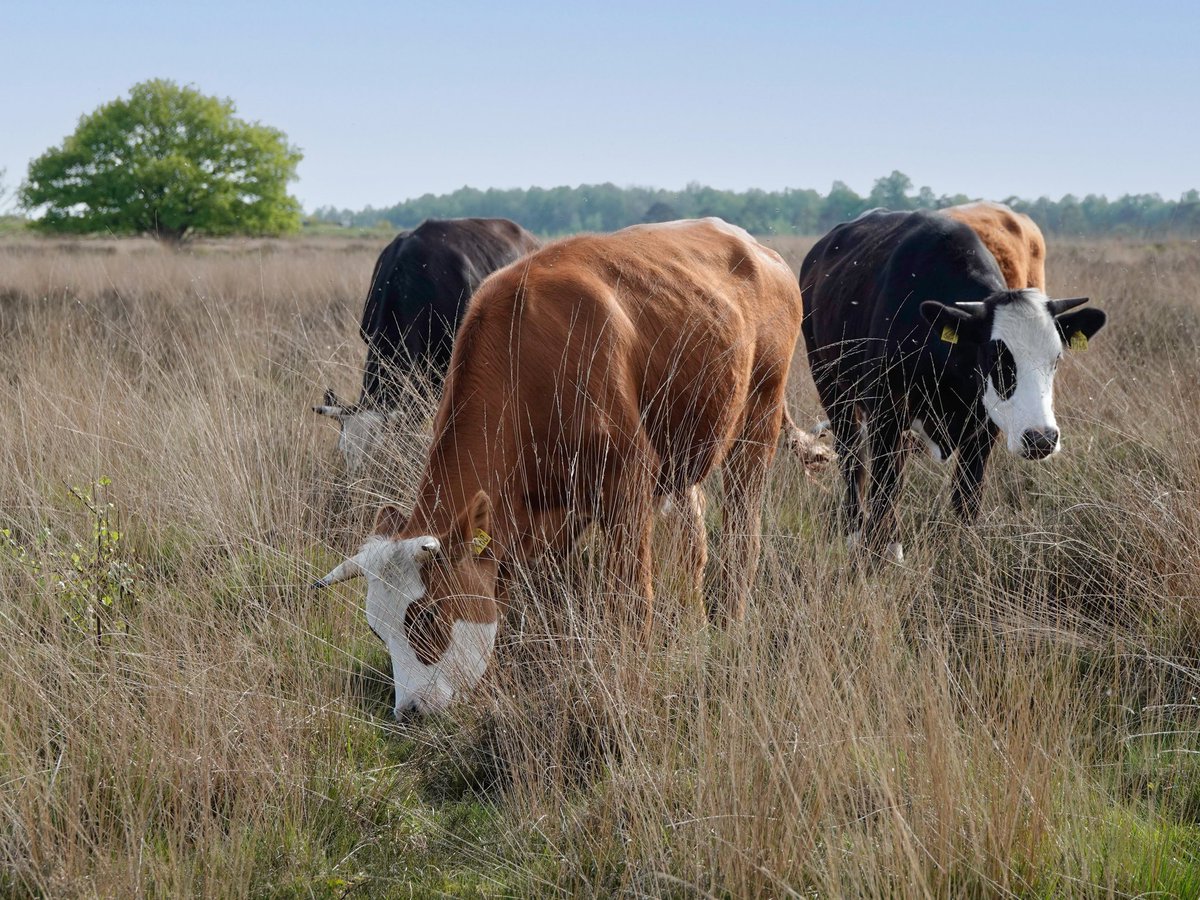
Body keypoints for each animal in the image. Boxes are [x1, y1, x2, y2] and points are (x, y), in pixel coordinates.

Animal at [796, 211, 1104, 564]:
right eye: (996, 357)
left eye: (1056, 358)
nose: (1040, 438)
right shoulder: (887, 413)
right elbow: (886, 486)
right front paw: (885, 552)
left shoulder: (984, 427)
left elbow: (967, 494)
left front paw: (964, 548)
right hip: (831, 387)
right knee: (853, 460)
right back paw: (854, 531)